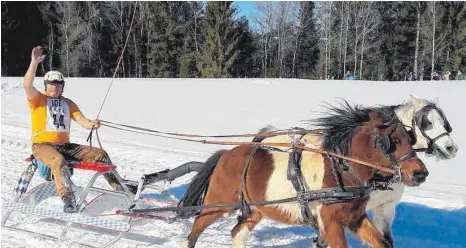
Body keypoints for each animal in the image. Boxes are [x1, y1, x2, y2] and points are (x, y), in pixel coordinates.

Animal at [180, 103, 428, 248]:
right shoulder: (330, 223)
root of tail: (225, 154)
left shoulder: (355, 218)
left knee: (237, 233)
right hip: (217, 204)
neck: (341, 171)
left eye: (411, 137)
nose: (421, 173)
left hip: (257, 209)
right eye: (392, 141)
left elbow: (381, 242)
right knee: (194, 231)